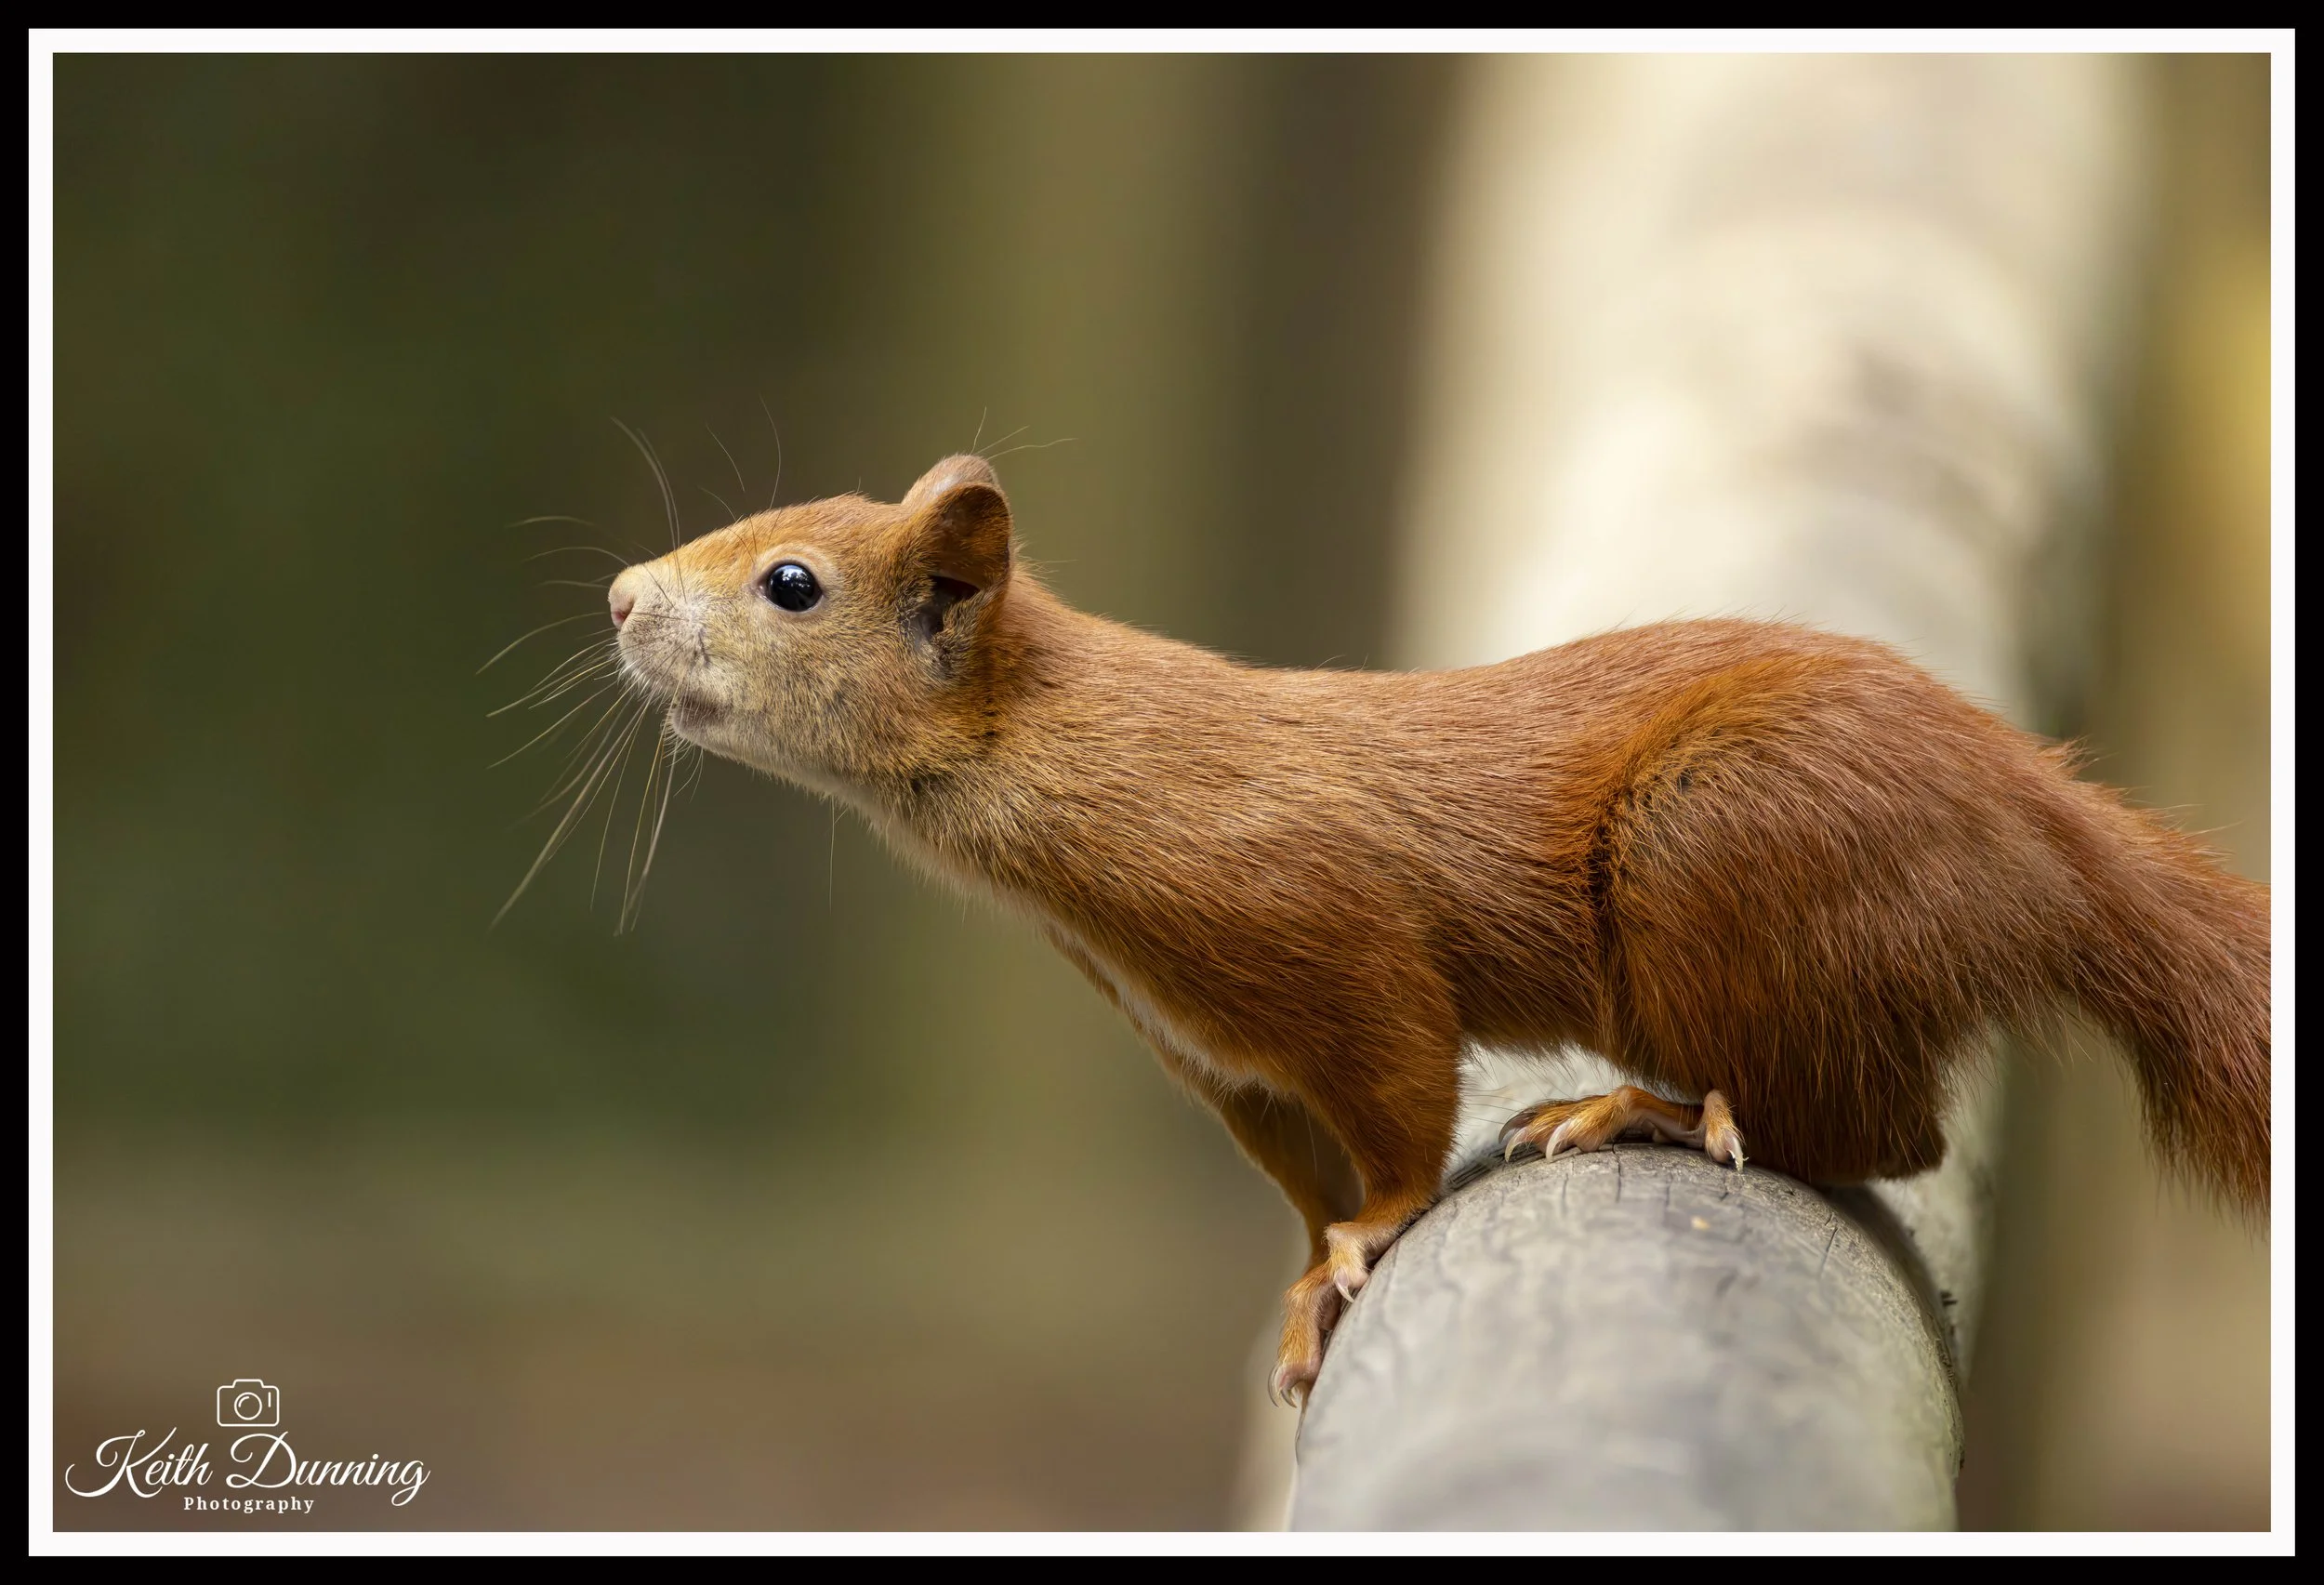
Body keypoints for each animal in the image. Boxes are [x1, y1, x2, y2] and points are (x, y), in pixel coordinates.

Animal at [602, 454, 2271, 1403]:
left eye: (791, 583)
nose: (617, 595)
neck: (1079, 767)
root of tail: (2042, 824)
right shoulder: (1221, 1057)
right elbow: (1303, 1180)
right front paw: (1300, 1298)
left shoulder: (1326, 937)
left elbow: (1401, 1114)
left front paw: (1372, 1238)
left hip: (1716, 848)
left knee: (1883, 1131)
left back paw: (1640, 1108)